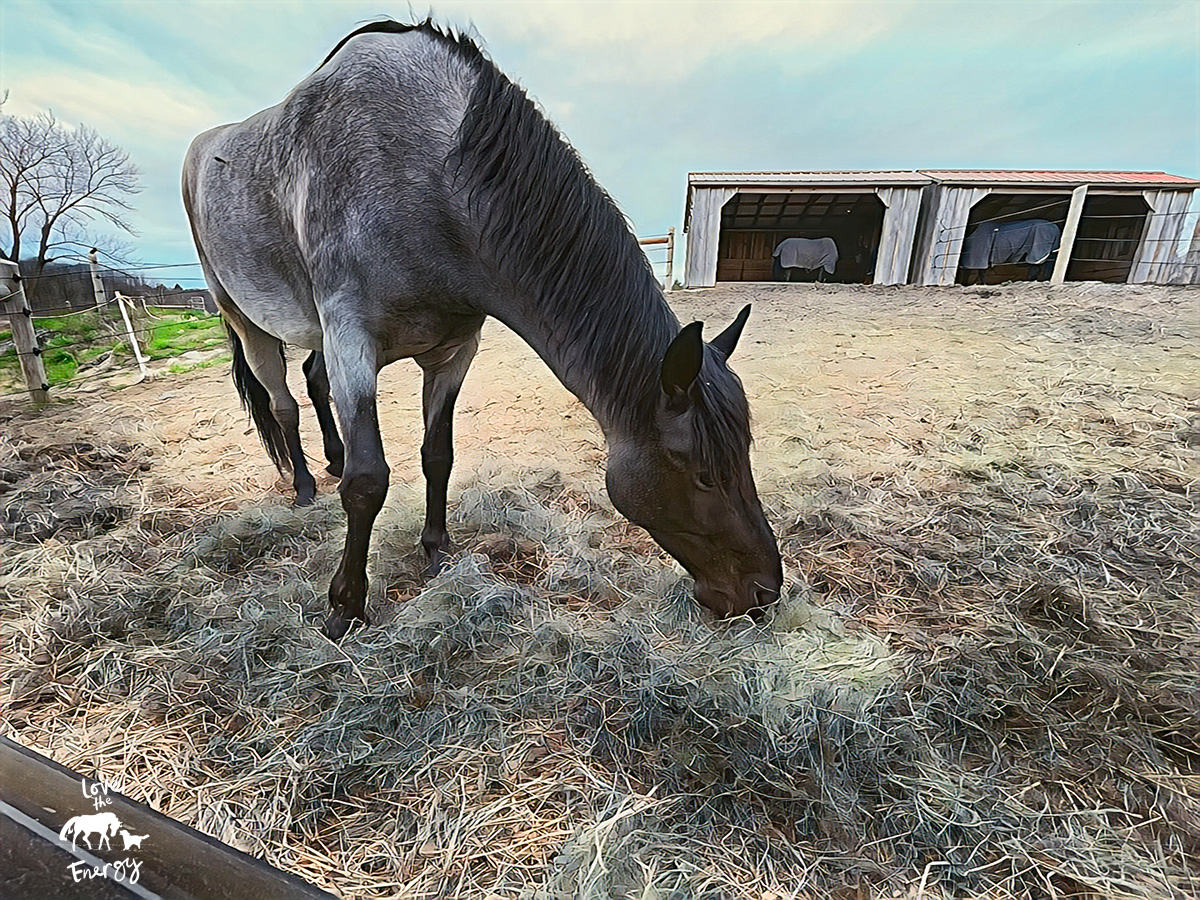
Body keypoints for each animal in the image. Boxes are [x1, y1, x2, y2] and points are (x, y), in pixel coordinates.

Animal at [177, 21, 777, 643]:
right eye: (702, 474)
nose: (764, 592)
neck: (428, 183)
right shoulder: (351, 339)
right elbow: (368, 483)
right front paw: (345, 604)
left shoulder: (453, 351)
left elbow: (437, 454)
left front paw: (436, 550)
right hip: (244, 317)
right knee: (283, 403)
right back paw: (301, 484)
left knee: (314, 381)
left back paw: (331, 461)